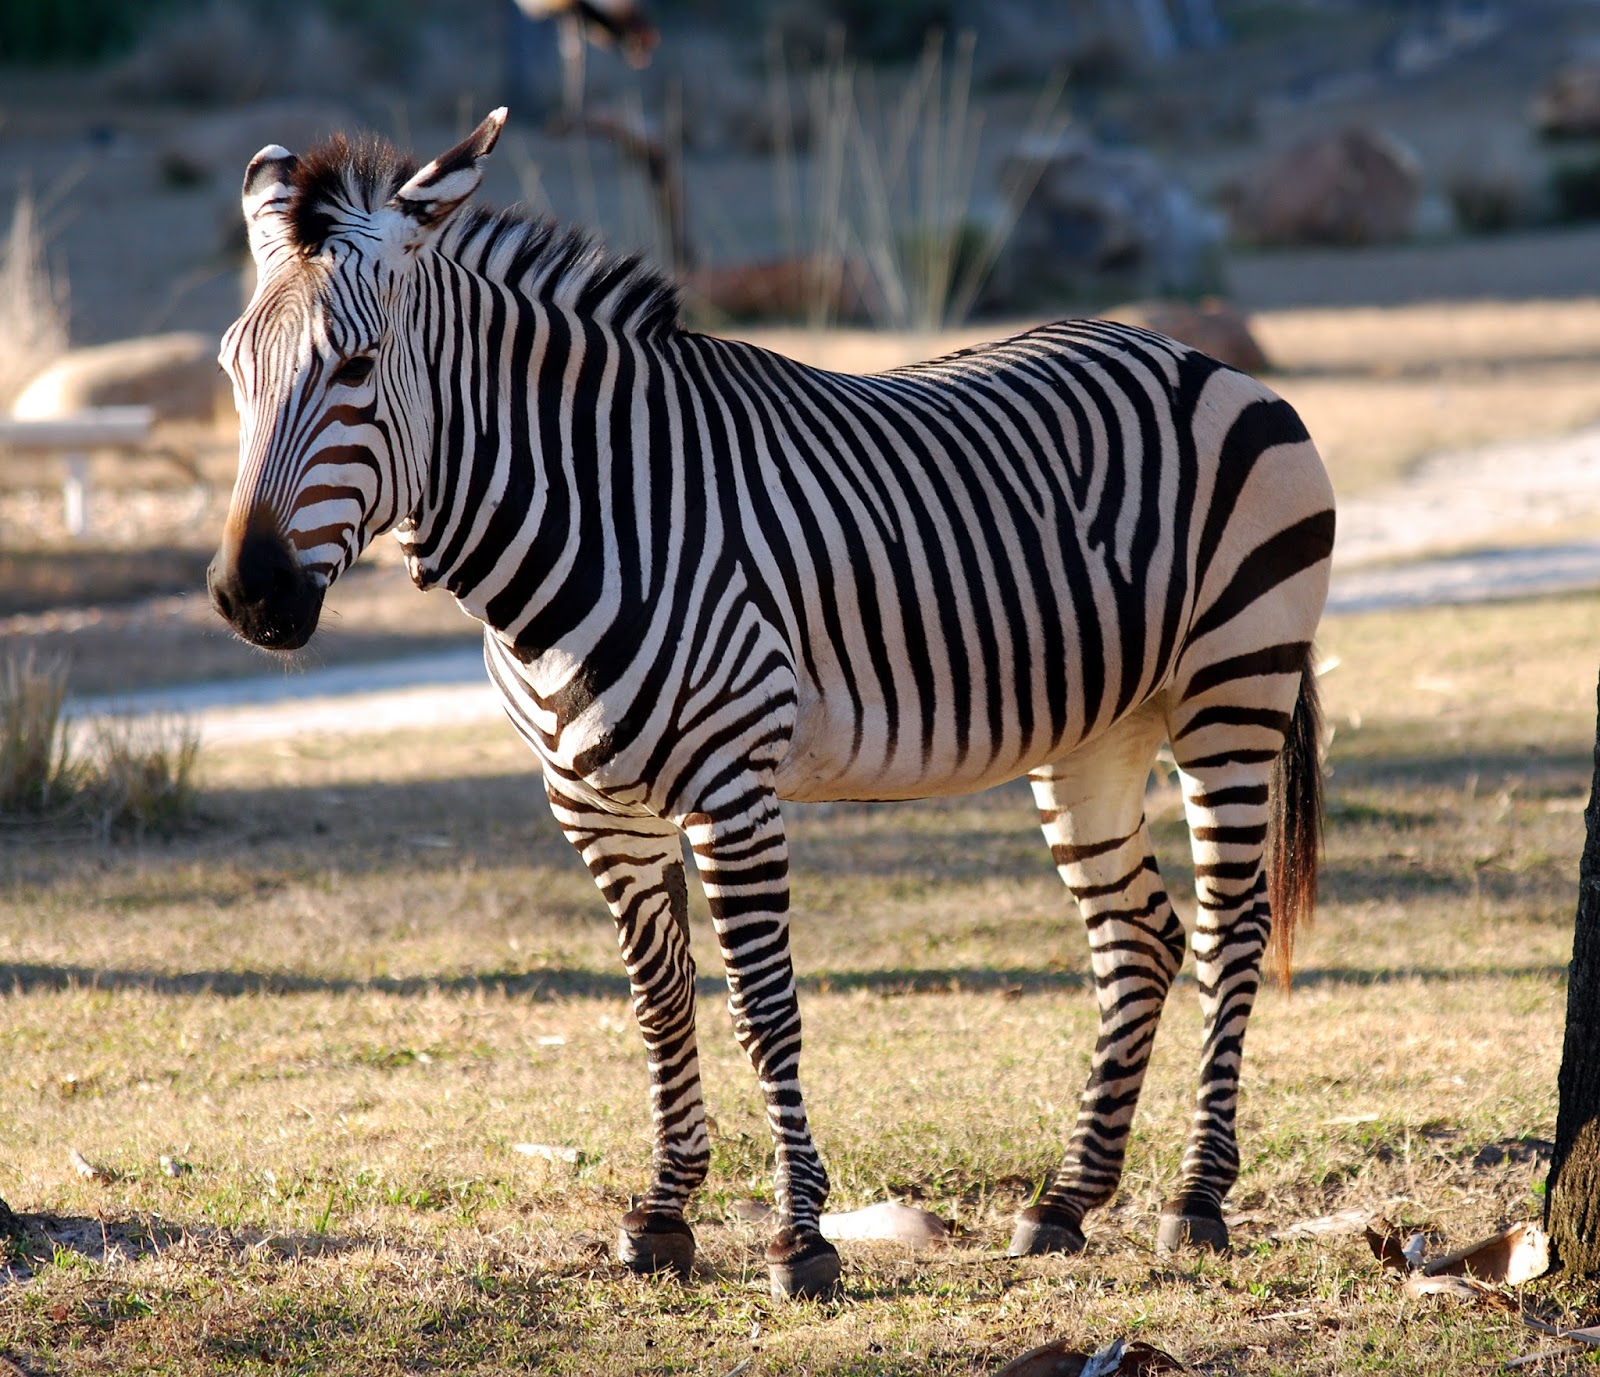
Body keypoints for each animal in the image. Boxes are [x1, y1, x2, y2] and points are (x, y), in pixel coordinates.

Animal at [208, 110, 1335, 1300]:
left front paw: (801, 1239)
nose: (249, 595)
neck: (587, 519)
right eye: (233, 372)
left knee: (1231, 927)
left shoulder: (728, 788)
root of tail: (1203, 359)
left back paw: (1195, 1199)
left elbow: (762, 1008)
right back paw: (1067, 1200)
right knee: (1138, 937)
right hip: (1097, 730)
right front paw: (664, 1214)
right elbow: (661, 1003)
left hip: (1232, 689)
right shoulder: (592, 805)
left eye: (357, 366)